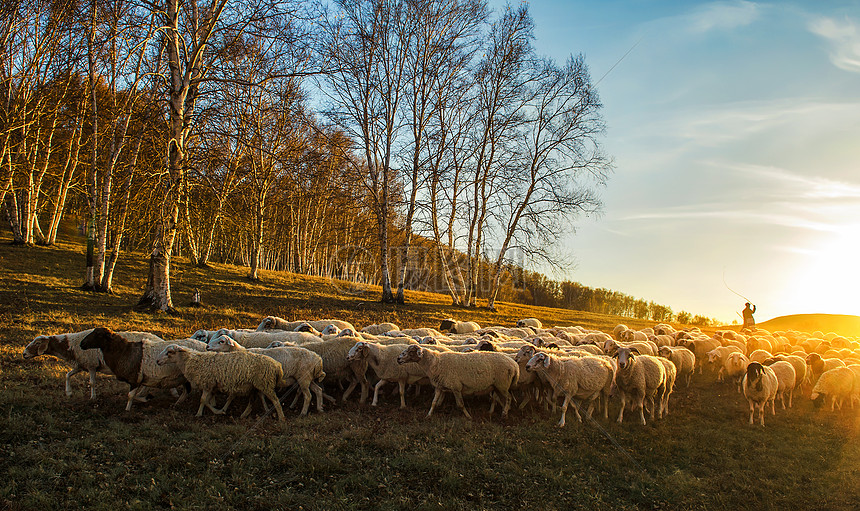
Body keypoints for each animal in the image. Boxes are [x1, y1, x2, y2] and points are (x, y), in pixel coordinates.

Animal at [155, 346, 286, 422]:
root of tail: (277, 365)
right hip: (256, 386)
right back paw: (244, 415)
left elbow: (203, 400)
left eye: (169, 352)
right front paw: (219, 411)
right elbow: (207, 401)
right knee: (252, 401)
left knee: (276, 401)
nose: (157, 361)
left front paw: (199, 414)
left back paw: (281, 419)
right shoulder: (211, 386)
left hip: (265, 384)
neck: (191, 361)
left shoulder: (207, 383)